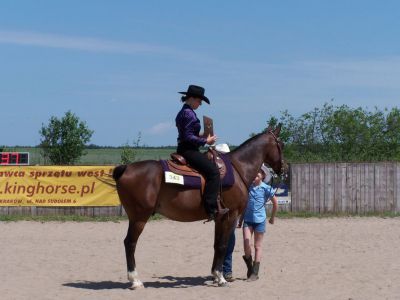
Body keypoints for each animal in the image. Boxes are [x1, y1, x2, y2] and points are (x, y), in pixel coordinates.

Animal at [112, 125, 286, 288]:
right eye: (281, 144)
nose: (283, 168)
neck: (238, 168)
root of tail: (126, 168)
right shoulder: (230, 216)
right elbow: (223, 245)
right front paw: (221, 278)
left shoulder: (219, 217)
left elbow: (216, 245)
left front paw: (215, 275)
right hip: (139, 218)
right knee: (130, 243)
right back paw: (135, 280)